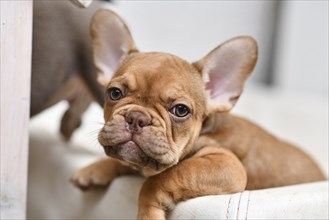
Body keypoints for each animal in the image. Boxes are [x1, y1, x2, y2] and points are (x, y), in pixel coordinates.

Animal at [70, 9, 324, 219]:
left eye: (181, 110)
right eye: (114, 93)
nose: (136, 118)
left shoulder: (227, 165)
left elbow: (161, 178)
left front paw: (148, 212)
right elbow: (128, 163)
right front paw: (95, 169)